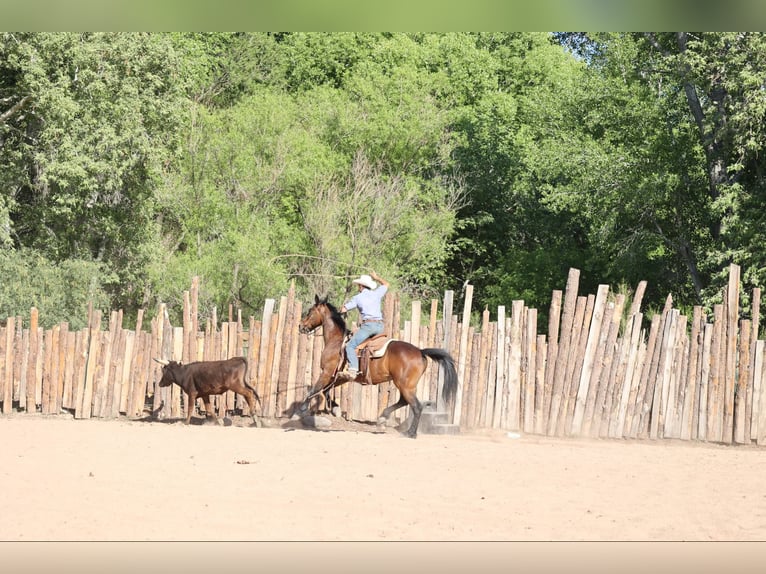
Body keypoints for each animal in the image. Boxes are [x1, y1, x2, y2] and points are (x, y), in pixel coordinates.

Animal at [297, 295, 457, 438]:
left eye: (310, 311)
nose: (300, 326)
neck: (336, 342)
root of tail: (420, 351)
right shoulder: (339, 377)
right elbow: (325, 391)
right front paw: (335, 409)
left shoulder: (326, 372)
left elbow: (315, 389)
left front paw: (303, 407)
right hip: (405, 385)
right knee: (403, 401)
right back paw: (383, 418)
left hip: (405, 385)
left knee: (416, 406)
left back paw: (410, 433)